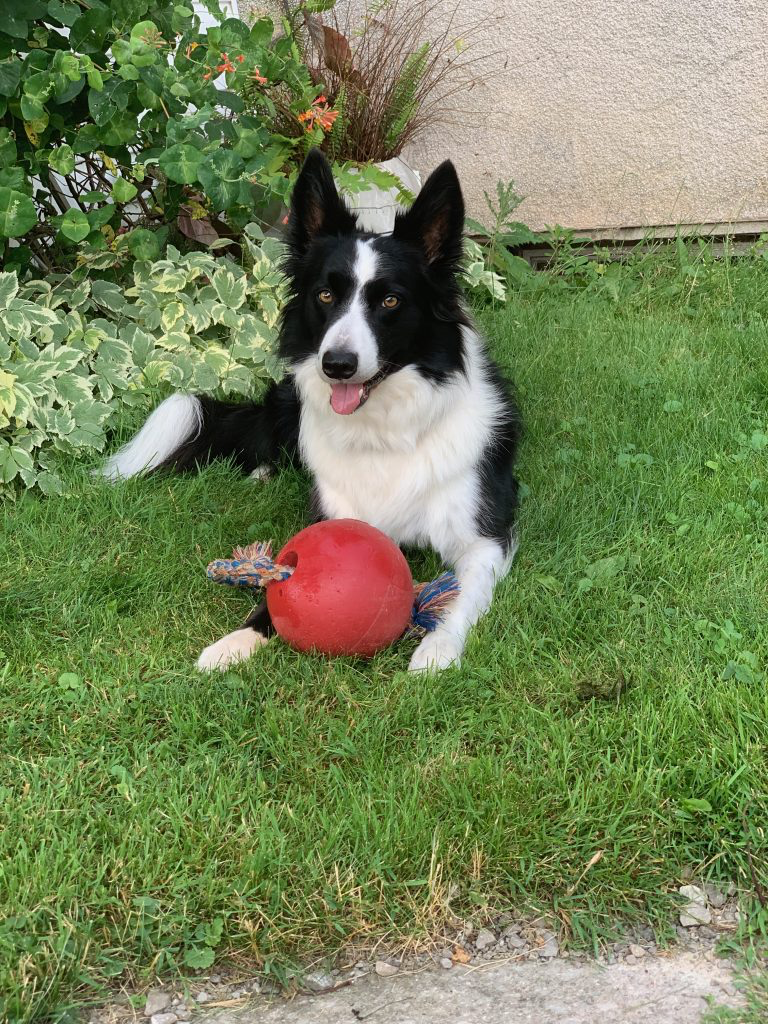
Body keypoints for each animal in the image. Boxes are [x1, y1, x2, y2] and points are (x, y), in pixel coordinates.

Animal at [102, 149, 522, 673]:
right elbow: (274, 586)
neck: (386, 431)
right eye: (325, 295)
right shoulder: (336, 515)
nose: (336, 365)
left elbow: (459, 595)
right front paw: (235, 641)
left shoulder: (484, 541)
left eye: (390, 300)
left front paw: (436, 649)